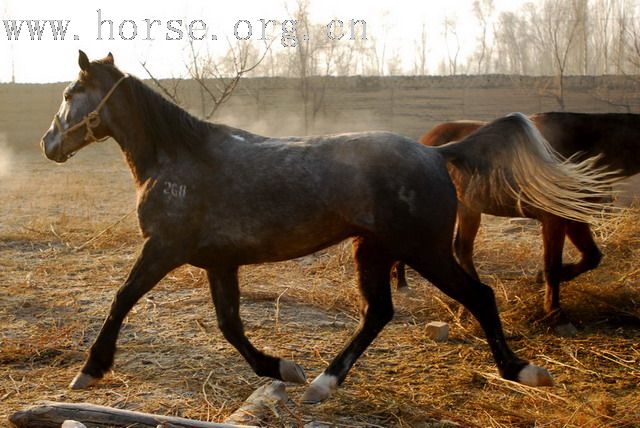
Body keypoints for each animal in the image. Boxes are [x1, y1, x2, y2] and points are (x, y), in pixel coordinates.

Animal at [398, 113, 632, 318]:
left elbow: (590, 256)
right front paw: (553, 309)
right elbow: (554, 264)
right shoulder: (557, 218)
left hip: (468, 209)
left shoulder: (571, 216)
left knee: (460, 249)